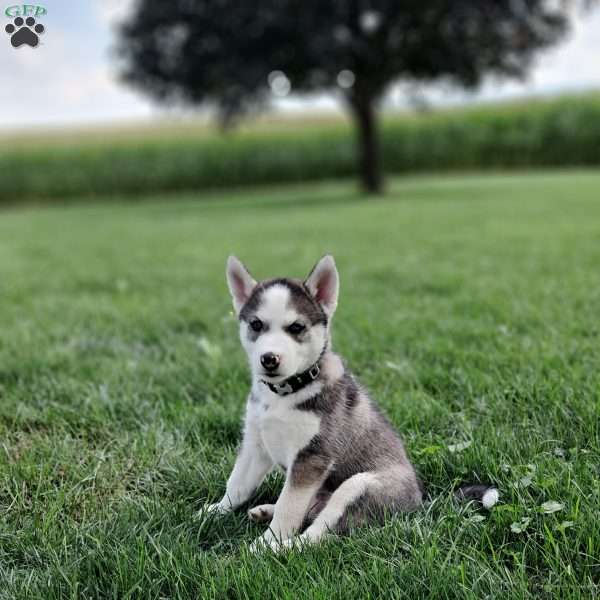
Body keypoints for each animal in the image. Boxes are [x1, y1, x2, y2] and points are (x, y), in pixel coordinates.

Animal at [206, 255, 496, 552]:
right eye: (256, 325)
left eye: (296, 328)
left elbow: (289, 507)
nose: (269, 359)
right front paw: (213, 512)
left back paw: (280, 548)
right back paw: (265, 510)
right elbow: (237, 485)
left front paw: (264, 544)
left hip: (358, 485)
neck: (284, 394)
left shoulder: (312, 457)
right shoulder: (255, 443)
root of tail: (419, 503)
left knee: (317, 533)